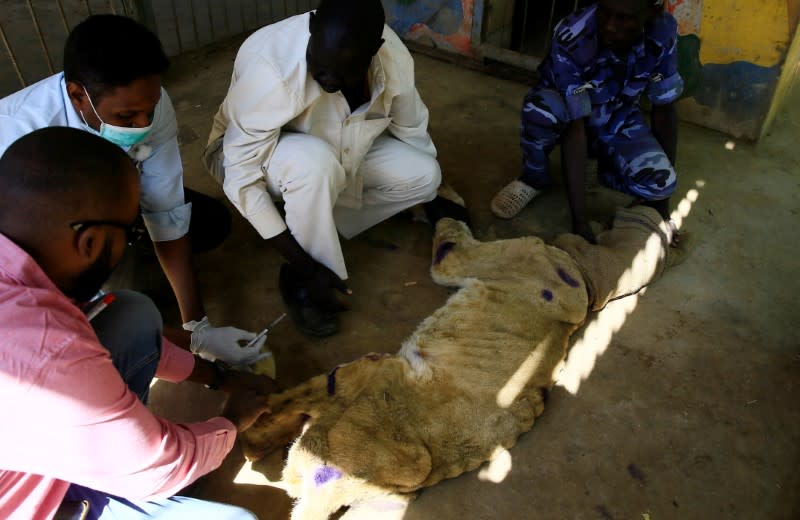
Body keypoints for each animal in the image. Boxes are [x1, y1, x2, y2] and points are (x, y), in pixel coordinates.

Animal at [245, 205, 680, 516]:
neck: (588, 274)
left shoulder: (460, 261)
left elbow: (450, 238)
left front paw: (441, 210)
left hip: (367, 372)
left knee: (293, 402)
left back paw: (253, 428)